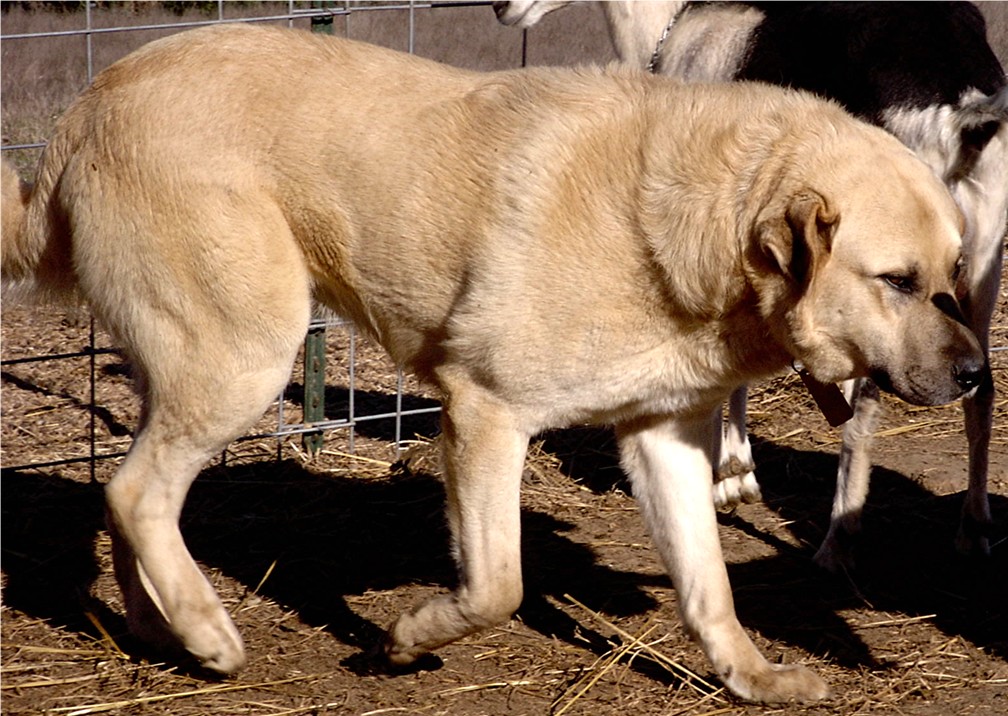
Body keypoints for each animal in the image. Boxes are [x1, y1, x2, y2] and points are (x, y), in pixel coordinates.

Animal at [497, 1, 1008, 572]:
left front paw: (728, 477)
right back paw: (974, 529)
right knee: (982, 386)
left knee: (867, 406)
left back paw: (839, 537)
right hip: (974, 260)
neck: (678, 23)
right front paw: (738, 470)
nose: (501, 9)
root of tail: (964, 109)